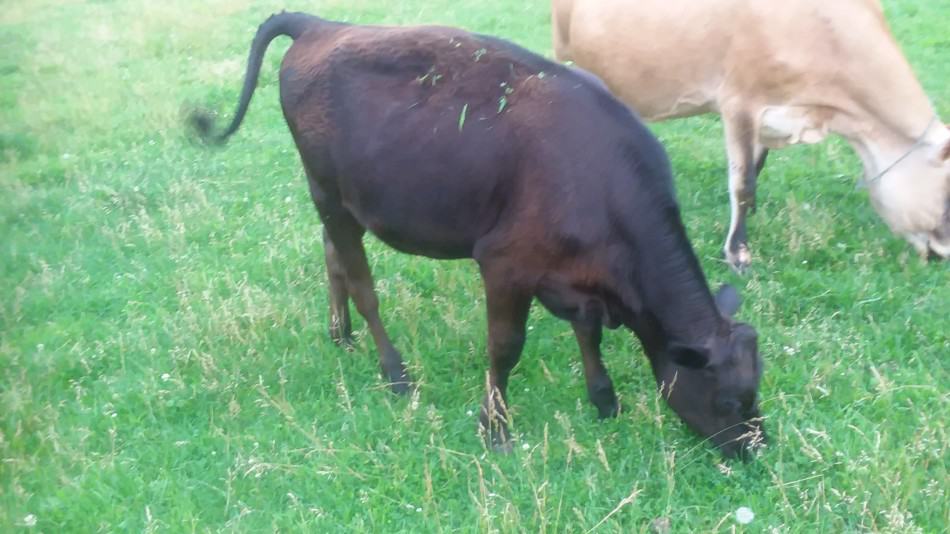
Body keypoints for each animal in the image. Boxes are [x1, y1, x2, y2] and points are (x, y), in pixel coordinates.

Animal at [193, 10, 768, 458]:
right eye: (728, 401)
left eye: (756, 388)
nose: (756, 451)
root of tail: (318, 24)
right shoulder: (505, 262)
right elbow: (505, 347)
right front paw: (495, 428)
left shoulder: (569, 274)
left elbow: (588, 329)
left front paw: (604, 399)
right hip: (329, 195)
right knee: (362, 283)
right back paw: (394, 371)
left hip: (340, 200)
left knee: (332, 254)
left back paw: (341, 334)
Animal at [556, 0, 948, 270]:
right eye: (946, 199)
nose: (942, 256)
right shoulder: (740, 101)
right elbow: (742, 183)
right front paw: (738, 252)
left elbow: (755, 168)